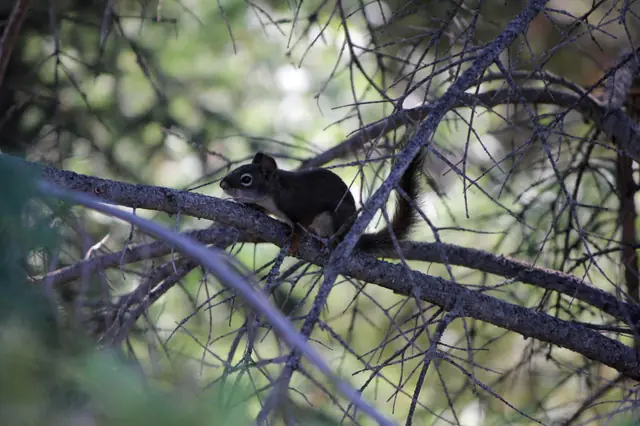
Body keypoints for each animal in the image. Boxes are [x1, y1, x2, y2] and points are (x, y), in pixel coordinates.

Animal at [219, 152, 423, 254]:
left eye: (246, 179)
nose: (222, 184)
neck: (273, 196)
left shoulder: (302, 207)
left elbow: (301, 226)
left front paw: (294, 241)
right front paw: (254, 207)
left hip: (333, 219)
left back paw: (327, 242)